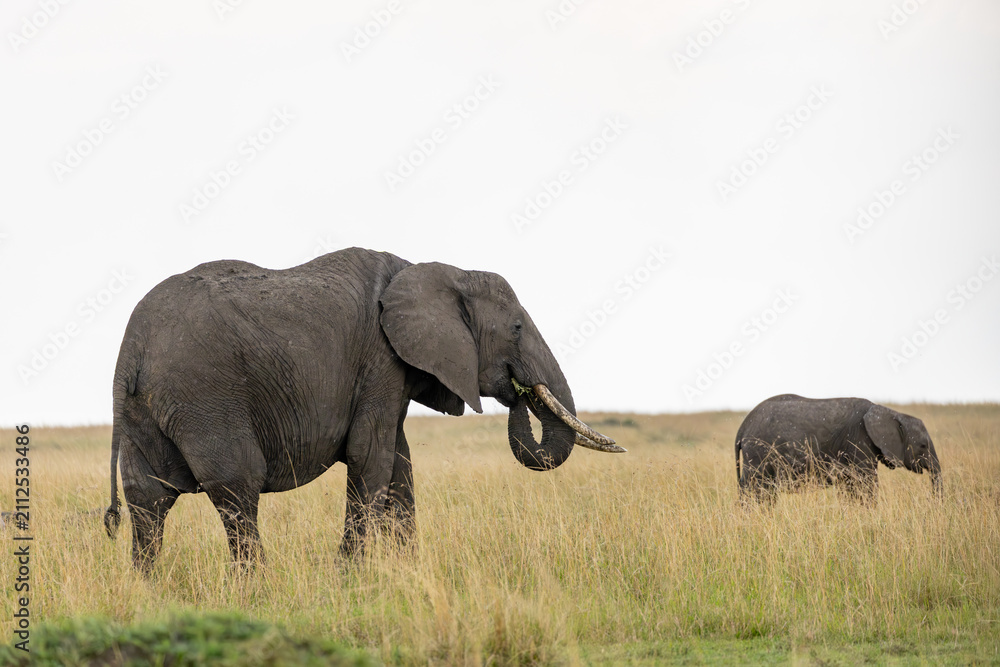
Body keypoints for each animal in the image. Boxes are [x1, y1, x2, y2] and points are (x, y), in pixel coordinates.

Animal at [103, 247, 623, 571]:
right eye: (516, 327)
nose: (519, 392)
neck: (435, 270)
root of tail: (131, 350)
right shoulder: (380, 359)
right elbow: (371, 457)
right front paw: (349, 577)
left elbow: (401, 465)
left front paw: (408, 572)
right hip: (205, 395)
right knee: (238, 486)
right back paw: (256, 588)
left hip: (145, 408)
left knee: (147, 498)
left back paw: (149, 590)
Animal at [735, 394, 941, 504]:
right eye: (923, 446)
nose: (931, 501)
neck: (889, 412)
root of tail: (743, 426)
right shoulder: (859, 440)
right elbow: (867, 484)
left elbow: (851, 485)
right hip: (758, 453)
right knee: (760, 490)